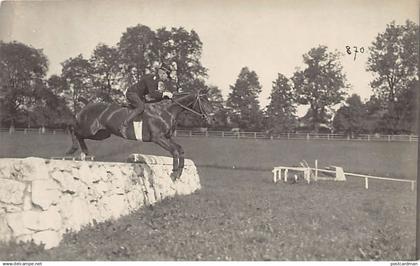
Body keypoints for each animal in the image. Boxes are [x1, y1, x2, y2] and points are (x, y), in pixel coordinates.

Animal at [67, 88, 217, 180]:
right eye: (204, 101)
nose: (213, 119)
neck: (166, 111)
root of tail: (87, 106)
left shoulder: (167, 137)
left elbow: (180, 149)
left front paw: (179, 171)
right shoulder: (158, 138)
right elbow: (174, 151)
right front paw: (174, 173)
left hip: (101, 134)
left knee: (79, 135)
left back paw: (85, 152)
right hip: (90, 129)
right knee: (73, 128)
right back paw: (73, 149)